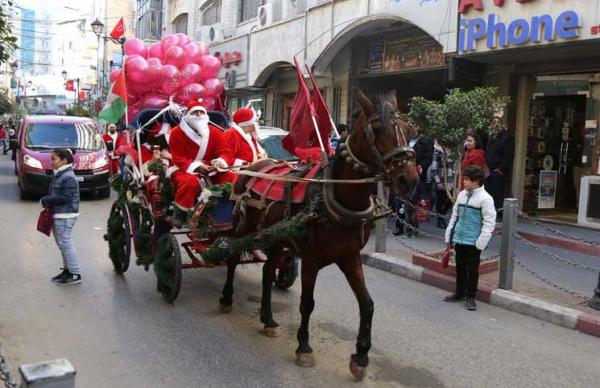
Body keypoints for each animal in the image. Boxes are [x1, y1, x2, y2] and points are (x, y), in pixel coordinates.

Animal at [218, 90, 420, 378]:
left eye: (409, 129)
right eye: (378, 128)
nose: (409, 180)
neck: (334, 198)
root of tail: (256, 165)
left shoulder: (349, 257)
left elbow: (367, 304)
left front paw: (361, 357)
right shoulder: (311, 260)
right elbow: (307, 303)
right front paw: (304, 347)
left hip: (275, 238)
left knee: (268, 272)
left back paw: (268, 320)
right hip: (241, 226)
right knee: (233, 258)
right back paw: (226, 298)